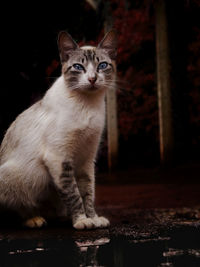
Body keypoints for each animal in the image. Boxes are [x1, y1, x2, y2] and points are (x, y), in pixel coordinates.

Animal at [0, 29, 117, 230]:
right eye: (78, 67)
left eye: (102, 65)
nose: (92, 79)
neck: (88, 105)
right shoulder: (59, 157)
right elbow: (74, 194)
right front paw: (82, 221)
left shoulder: (87, 159)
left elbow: (88, 192)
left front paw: (93, 218)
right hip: (11, 177)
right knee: (16, 209)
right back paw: (34, 219)